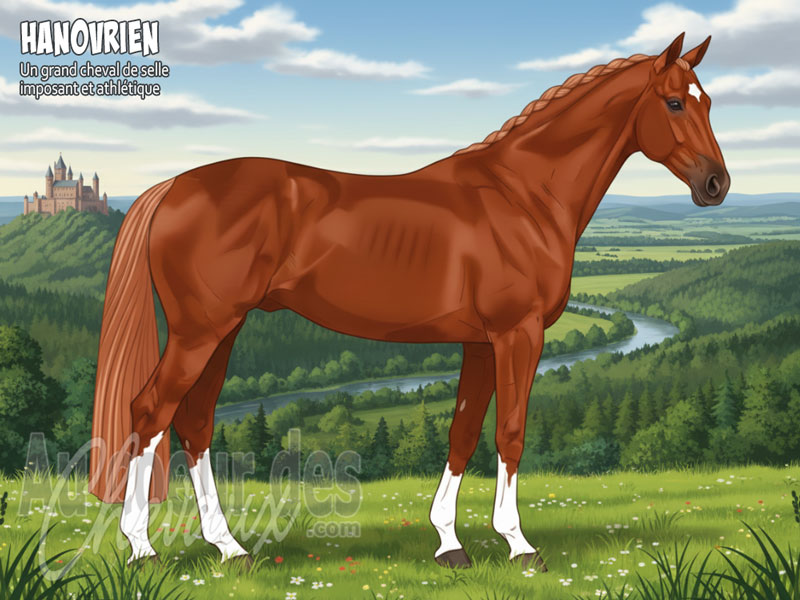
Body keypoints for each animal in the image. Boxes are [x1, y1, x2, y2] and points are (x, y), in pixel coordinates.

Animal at [89, 33, 728, 570]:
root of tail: (173, 185)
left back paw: (228, 548)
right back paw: (142, 548)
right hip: (200, 331)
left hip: (223, 331)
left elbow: (463, 433)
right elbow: (511, 433)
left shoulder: (480, 342)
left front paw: (449, 544)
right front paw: (520, 546)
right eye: (675, 103)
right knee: (150, 413)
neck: (523, 195)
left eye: (709, 103)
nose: (716, 185)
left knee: (194, 423)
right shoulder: (518, 333)